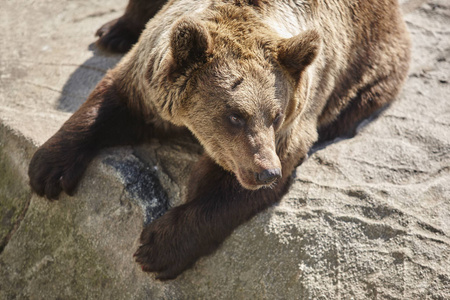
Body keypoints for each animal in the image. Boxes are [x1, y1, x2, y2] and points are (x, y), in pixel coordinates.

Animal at [27, 0, 408, 280]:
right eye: (235, 115)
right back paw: (113, 32)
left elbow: (227, 189)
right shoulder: (149, 79)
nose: (266, 171)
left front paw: (158, 246)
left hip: (369, 64)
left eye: (275, 115)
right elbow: (110, 100)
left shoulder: (294, 121)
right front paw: (47, 170)